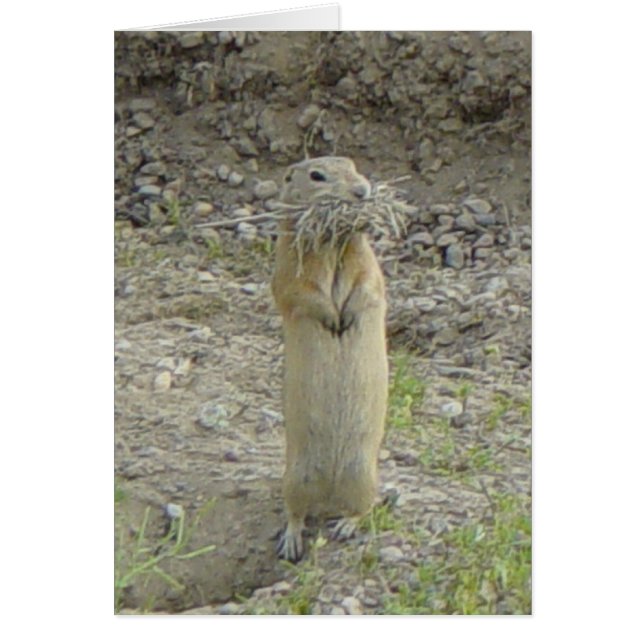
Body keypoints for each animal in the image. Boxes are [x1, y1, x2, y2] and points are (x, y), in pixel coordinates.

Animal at [271, 157, 388, 562]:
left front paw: (345, 319)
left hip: (364, 474)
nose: (362, 191)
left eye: (354, 165)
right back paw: (291, 543)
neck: (335, 242)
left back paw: (345, 527)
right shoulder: (289, 264)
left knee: (362, 508)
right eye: (316, 175)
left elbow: (368, 286)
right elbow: (302, 293)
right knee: (295, 512)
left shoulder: (367, 262)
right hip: (295, 477)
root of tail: (328, 497)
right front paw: (332, 320)